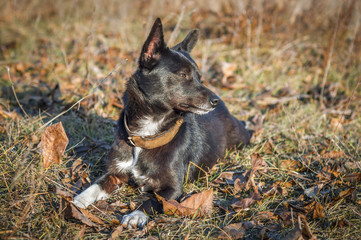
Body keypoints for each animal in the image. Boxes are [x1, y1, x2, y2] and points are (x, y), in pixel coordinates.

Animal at [71, 17, 249, 228]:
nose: (216, 101)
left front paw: (135, 214)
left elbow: (152, 200)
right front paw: (77, 201)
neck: (147, 134)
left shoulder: (173, 188)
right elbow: (95, 186)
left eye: (199, 78)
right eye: (183, 75)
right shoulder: (114, 173)